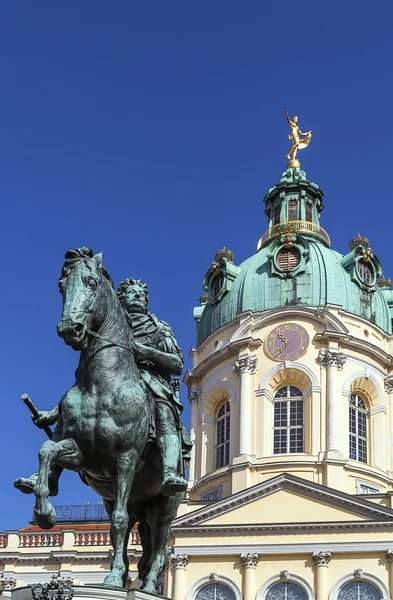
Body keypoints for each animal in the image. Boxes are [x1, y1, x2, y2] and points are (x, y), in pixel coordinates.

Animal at [31, 248, 182, 592]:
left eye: (90, 281)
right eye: (61, 285)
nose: (69, 329)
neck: (103, 382)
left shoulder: (125, 458)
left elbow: (120, 522)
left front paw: (113, 578)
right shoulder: (83, 454)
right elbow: (47, 449)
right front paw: (44, 511)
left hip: (165, 503)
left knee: (160, 542)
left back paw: (148, 586)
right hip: (125, 499)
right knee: (129, 535)